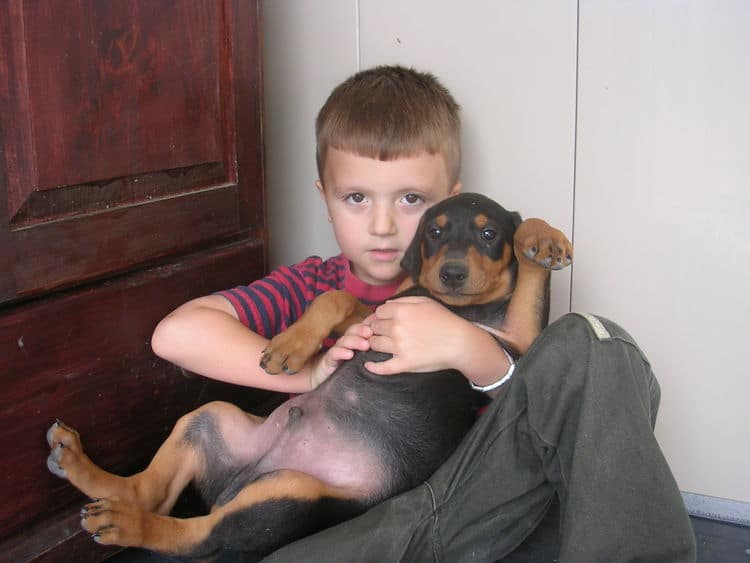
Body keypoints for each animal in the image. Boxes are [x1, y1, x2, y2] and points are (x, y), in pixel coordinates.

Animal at [47, 193, 572, 560]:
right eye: (436, 233)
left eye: (489, 235)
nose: (453, 274)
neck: (452, 306)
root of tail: (235, 482)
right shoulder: (379, 309)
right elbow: (333, 297)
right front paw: (291, 348)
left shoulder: (513, 342)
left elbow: (529, 284)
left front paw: (541, 239)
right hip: (212, 420)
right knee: (153, 493)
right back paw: (84, 470)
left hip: (292, 490)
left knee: (202, 537)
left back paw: (127, 523)